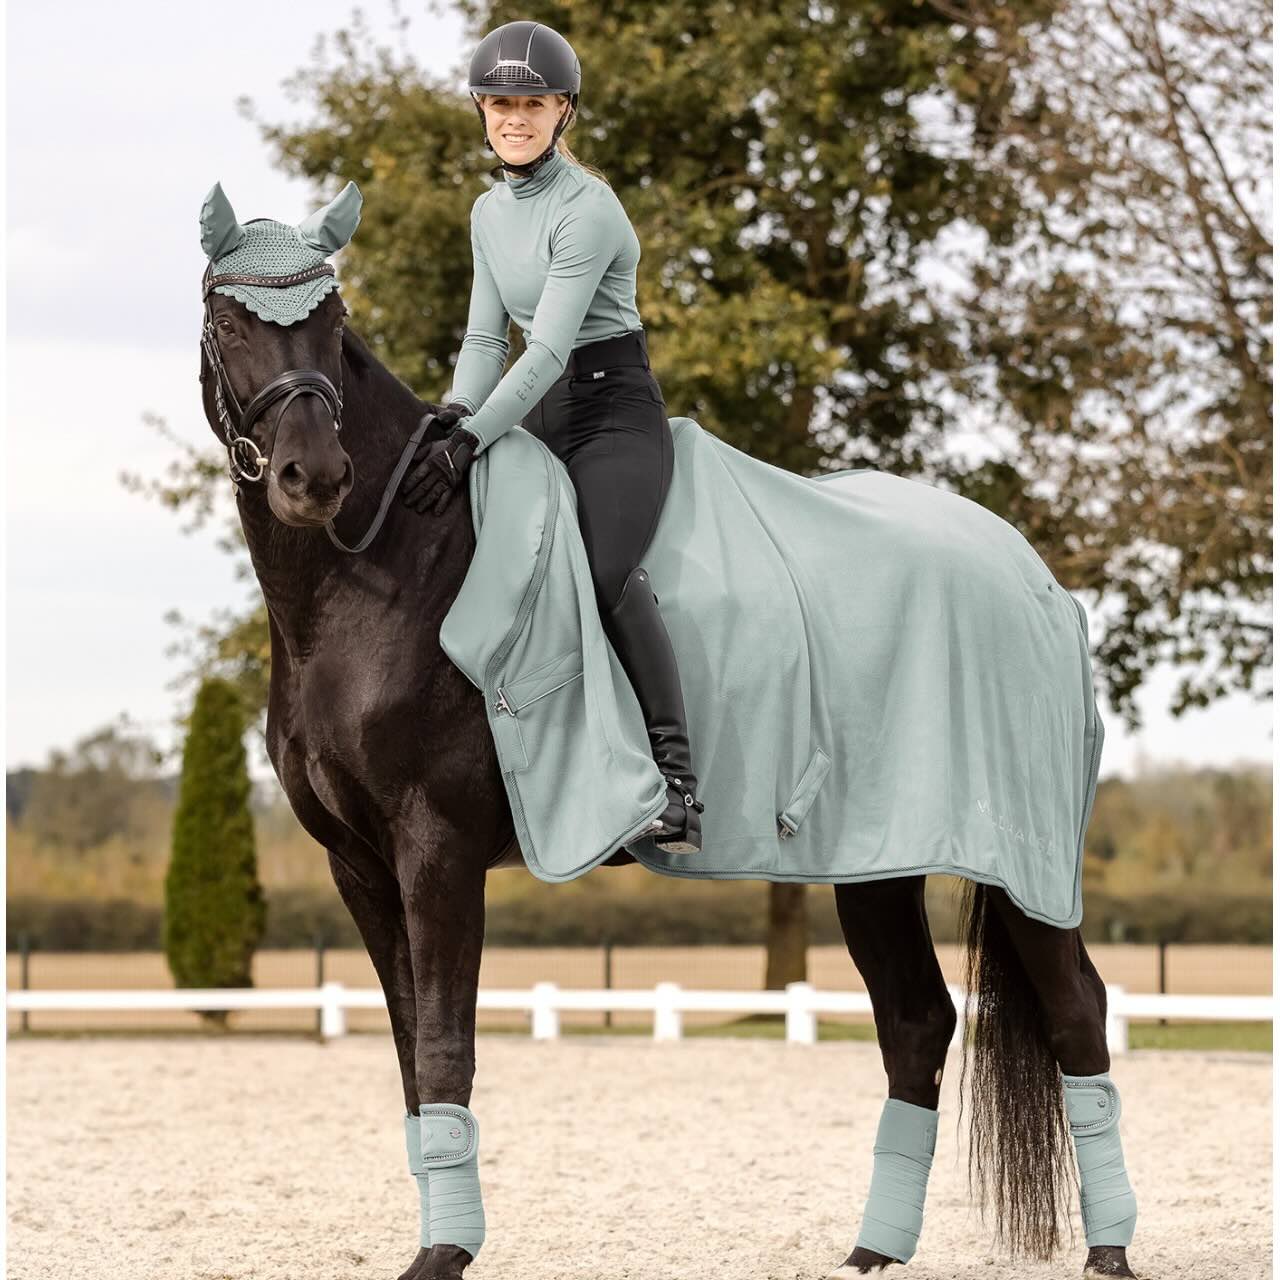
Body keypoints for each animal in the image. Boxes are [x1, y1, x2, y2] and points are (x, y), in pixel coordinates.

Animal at [196, 184, 1139, 1280]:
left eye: (334, 326)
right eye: (229, 324)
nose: (312, 476)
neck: (388, 564)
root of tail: (1035, 579)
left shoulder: (437, 851)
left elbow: (442, 1049)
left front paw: (445, 1253)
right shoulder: (358, 864)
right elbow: (405, 1058)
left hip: (1024, 866)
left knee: (1075, 1009)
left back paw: (1109, 1250)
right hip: (876, 855)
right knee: (915, 1021)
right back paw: (871, 1249)